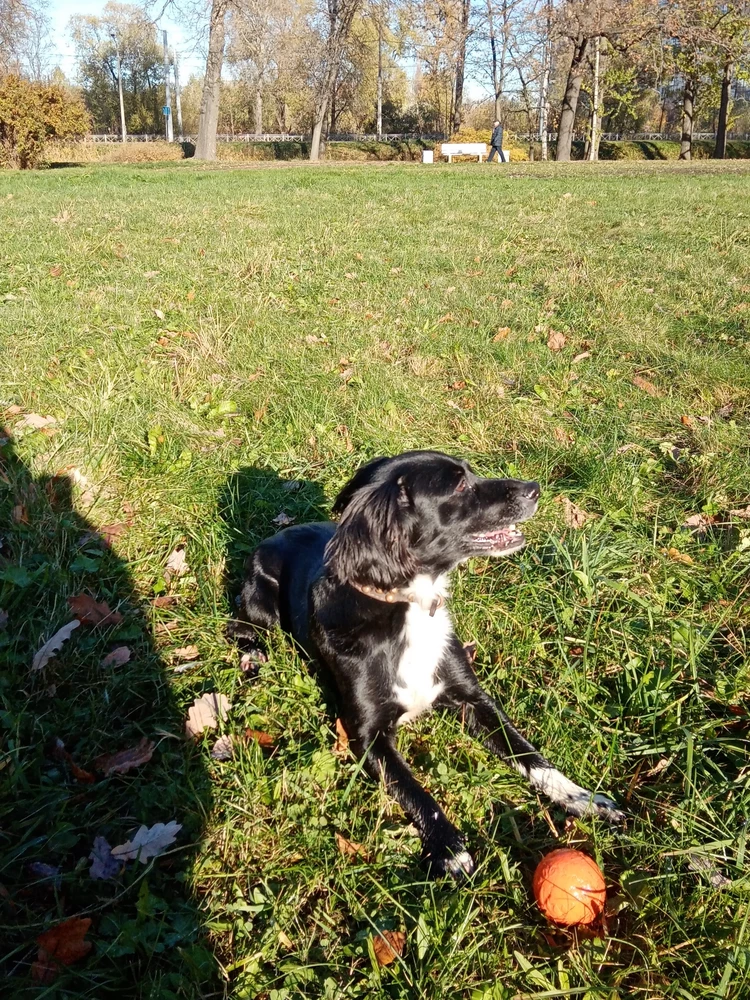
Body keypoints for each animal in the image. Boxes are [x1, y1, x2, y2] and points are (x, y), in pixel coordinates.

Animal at [232, 450, 624, 880]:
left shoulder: (474, 699)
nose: (535, 488)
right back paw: (252, 655)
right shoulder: (366, 736)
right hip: (261, 600)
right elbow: (416, 792)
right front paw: (449, 847)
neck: (408, 605)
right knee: (242, 624)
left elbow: (529, 755)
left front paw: (581, 797)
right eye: (459, 485)